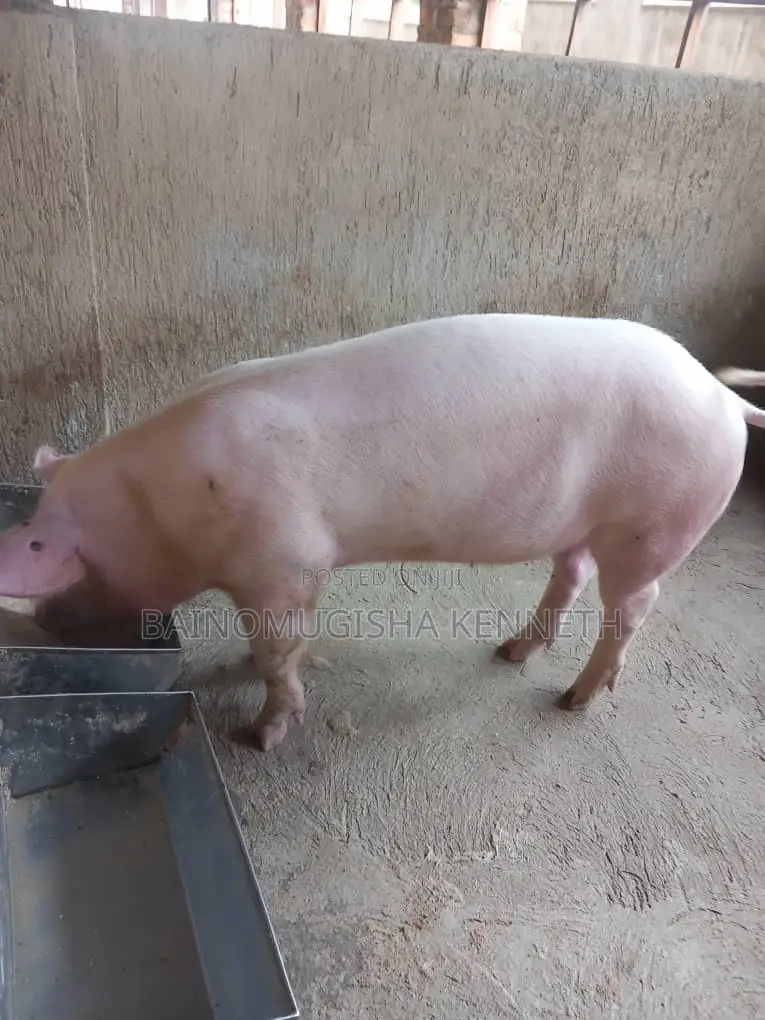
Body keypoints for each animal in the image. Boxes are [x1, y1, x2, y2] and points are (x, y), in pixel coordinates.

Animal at [0, 313, 763, 752]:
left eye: (61, 566)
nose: (47, 620)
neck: (159, 508)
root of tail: (724, 397)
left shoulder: (285, 563)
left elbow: (278, 653)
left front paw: (260, 735)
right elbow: (277, 647)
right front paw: (249, 671)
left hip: (650, 526)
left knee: (634, 604)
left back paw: (572, 700)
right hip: (582, 520)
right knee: (570, 573)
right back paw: (509, 652)